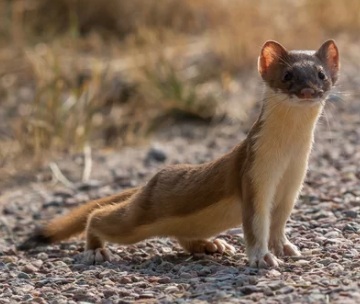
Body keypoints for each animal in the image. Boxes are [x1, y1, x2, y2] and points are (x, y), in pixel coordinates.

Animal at [18, 39, 340, 268]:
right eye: (287, 75)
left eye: (321, 74)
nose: (309, 91)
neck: (287, 154)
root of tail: (151, 182)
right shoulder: (254, 173)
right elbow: (255, 223)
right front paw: (262, 258)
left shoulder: (294, 180)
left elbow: (280, 220)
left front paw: (285, 247)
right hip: (139, 217)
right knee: (100, 216)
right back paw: (96, 251)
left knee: (182, 237)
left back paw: (212, 245)